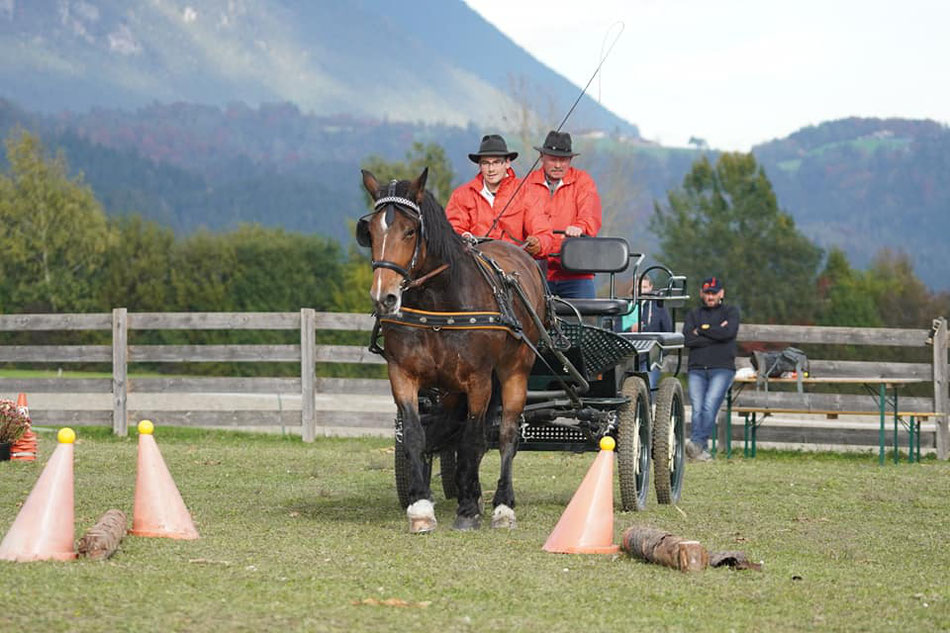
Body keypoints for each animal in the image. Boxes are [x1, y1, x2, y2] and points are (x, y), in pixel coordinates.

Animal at [358, 169, 552, 532]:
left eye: (410, 231)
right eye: (371, 231)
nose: (384, 297)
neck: (438, 302)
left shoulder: (479, 380)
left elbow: (474, 439)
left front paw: (468, 509)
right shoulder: (403, 375)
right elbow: (417, 435)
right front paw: (421, 506)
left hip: (514, 372)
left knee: (506, 434)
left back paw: (502, 506)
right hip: (449, 388)